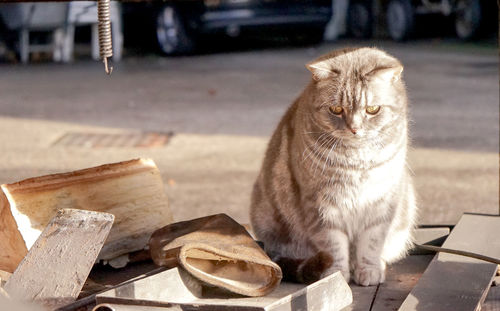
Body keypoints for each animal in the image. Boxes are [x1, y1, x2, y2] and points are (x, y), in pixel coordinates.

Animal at [250, 47, 418, 286]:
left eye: (372, 109)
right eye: (336, 109)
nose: (354, 128)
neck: (358, 159)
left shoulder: (382, 201)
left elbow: (372, 243)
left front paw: (369, 269)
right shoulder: (321, 205)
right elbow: (333, 245)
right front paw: (336, 274)